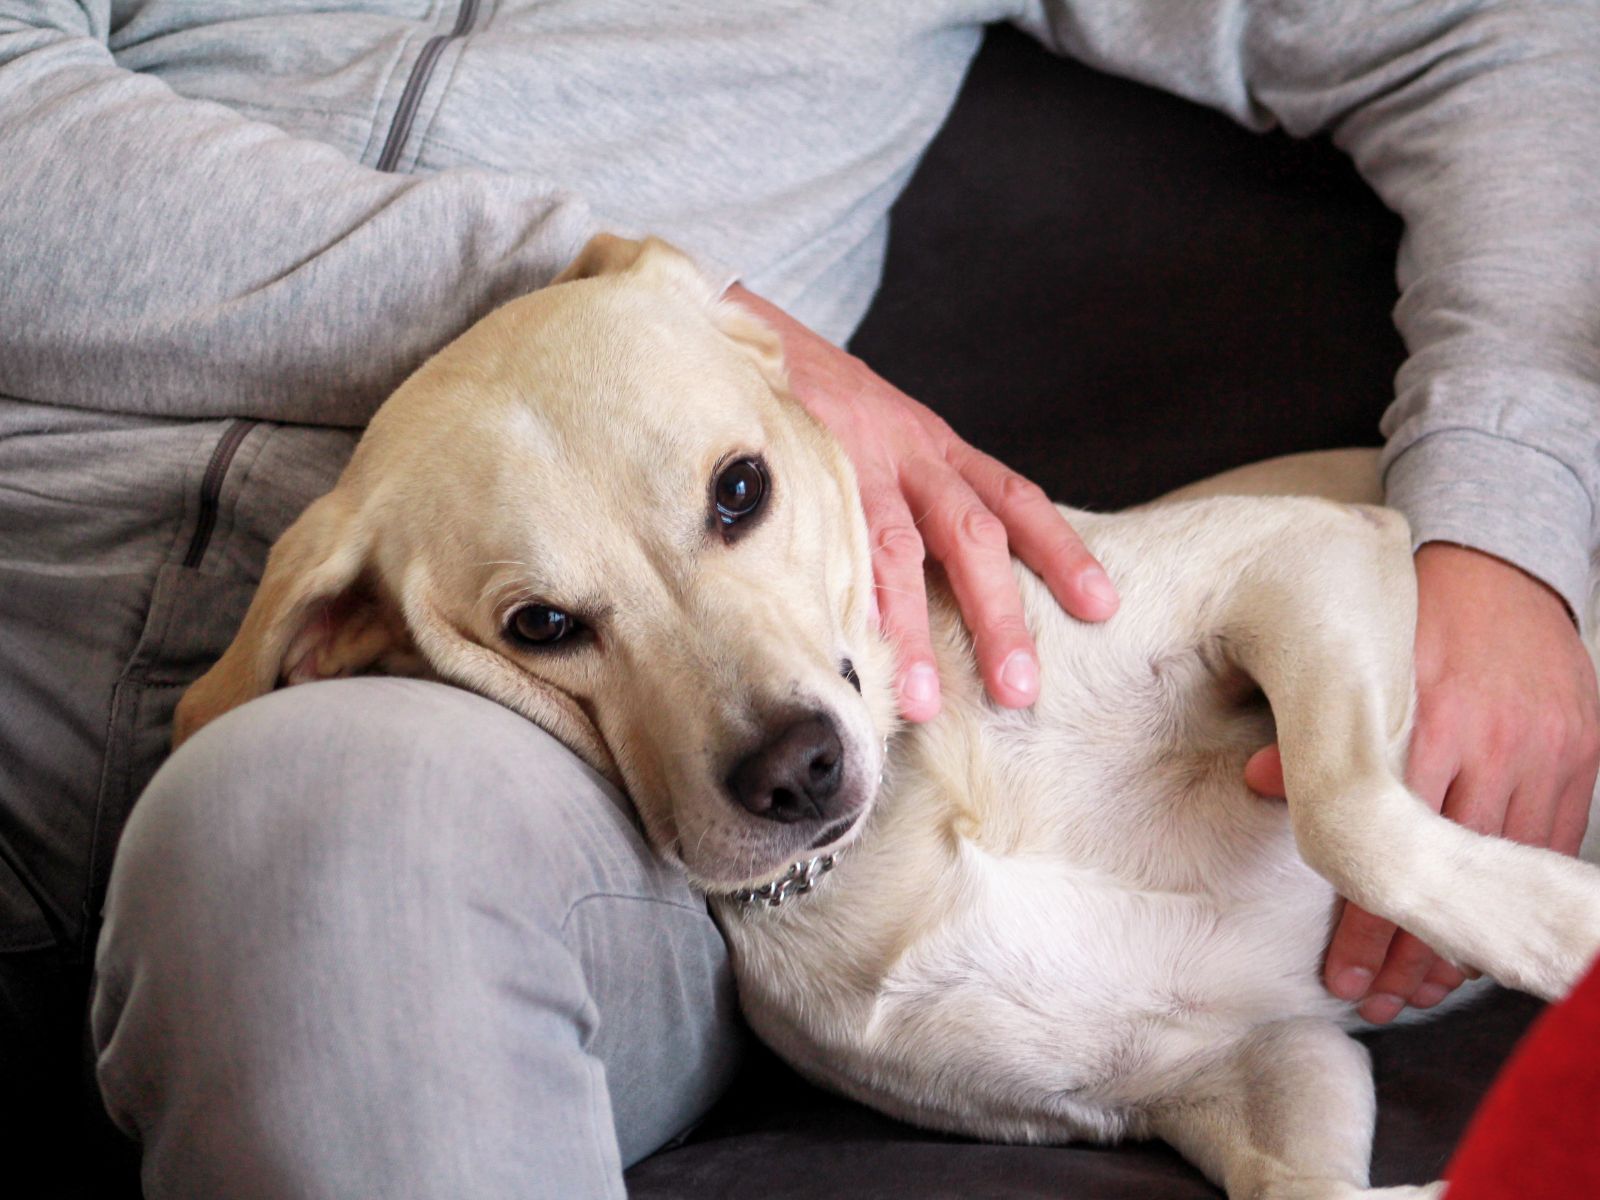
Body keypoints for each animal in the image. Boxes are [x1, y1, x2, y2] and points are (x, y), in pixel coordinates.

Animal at [178, 236, 1600, 1200]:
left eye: (739, 490)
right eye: (539, 625)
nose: (795, 772)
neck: (915, 819)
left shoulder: (1296, 560)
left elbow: (1351, 814)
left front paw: (1553, 925)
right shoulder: (1260, 1064)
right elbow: (1305, 1178)